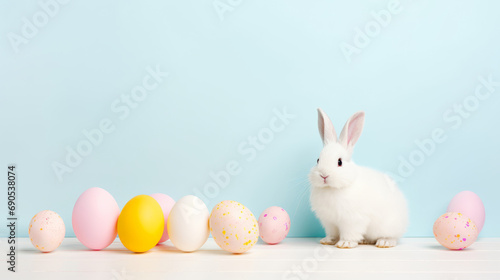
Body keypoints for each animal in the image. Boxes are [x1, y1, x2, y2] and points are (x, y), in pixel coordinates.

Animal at [308, 108, 410, 248]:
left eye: (339, 162)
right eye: (318, 160)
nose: (324, 175)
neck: (333, 188)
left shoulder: (352, 220)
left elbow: (349, 233)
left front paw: (345, 243)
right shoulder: (329, 222)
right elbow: (332, 233)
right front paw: (327, 241)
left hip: (389, 226)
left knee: (392, 237)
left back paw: (384, 242)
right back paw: (364, 241)